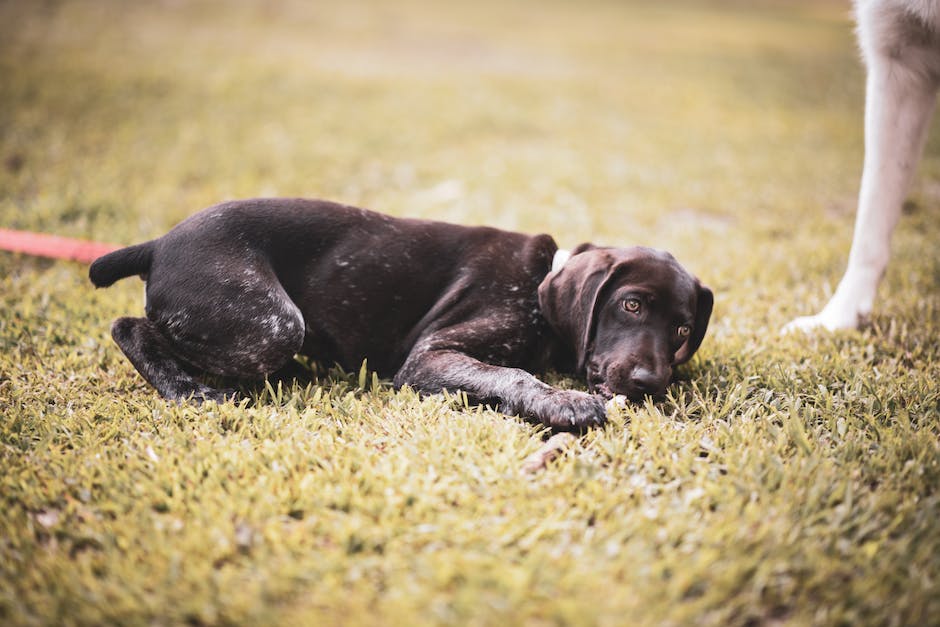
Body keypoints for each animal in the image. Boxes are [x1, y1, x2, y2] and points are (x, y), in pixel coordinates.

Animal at [93, 199, 712, 430]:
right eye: (630, 305)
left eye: (682, 330)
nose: (650, 383)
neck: (540, 284)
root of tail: (158, 244)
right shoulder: (429, 357)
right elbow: (511, 374)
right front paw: (563, 403)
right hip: (272, 325)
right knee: (128, 327)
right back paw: (189, 390)